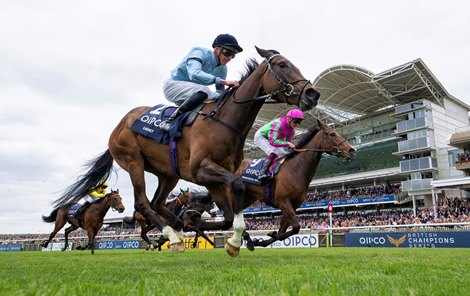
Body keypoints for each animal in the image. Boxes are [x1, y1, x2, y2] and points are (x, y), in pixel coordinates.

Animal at [50, 46, 320, 256]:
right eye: (283, 64)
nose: (312, 93)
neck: (225, 121)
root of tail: (119, 125)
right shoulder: (201, 169)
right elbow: (237, 187)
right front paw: (230, 237)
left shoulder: (213, 178)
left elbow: (227, 216)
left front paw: (229, 238)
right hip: (133, 161)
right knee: (143, 203)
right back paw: (172, 235)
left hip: (167, 173)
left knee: (159, 203)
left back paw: (178, 229)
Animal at [239, 120, 356, 250]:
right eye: (332, 134)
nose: (352, 150)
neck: (296, 168)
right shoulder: (284, 201)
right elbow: (295, 227)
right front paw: (267, 236)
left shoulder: (292, 205)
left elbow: (283, 231)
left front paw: (263, 239)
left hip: (247, 198)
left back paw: (248, 239)